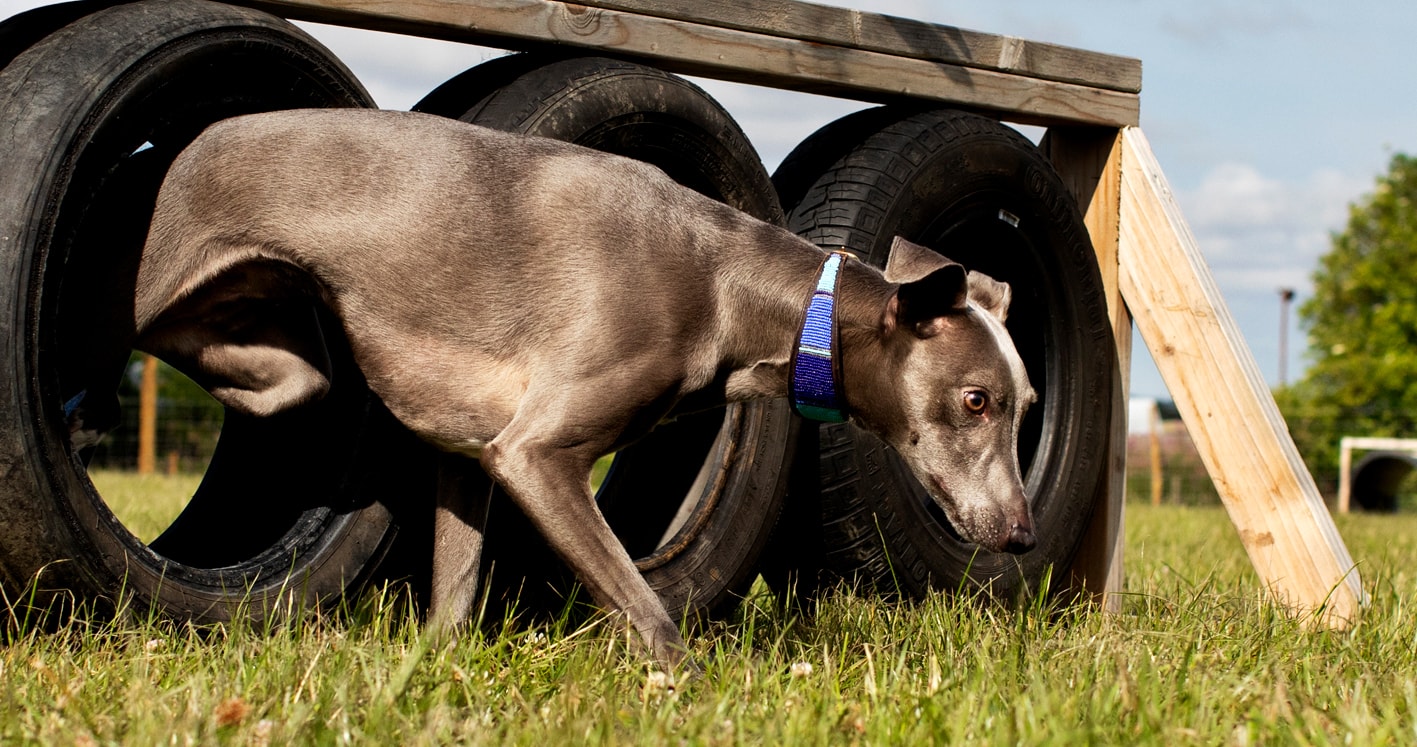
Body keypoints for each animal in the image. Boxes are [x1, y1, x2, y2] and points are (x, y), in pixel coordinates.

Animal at [127, 109, 1037, 671]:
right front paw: (692, 690)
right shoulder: (534, 453)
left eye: (1025, 405)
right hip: (160, 285)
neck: (727, 284)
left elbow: (454, 597)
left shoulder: (470, 453)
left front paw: (435, 675)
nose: (1022, 534)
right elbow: (648, 610)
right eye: (975, 400)